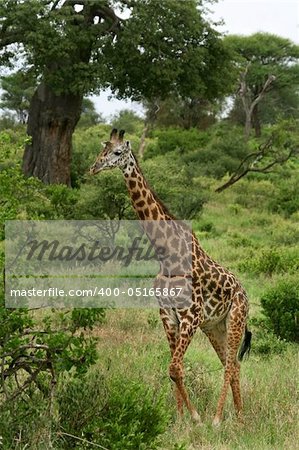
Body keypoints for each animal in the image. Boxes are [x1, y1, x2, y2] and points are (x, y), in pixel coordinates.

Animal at [90, 127, 252, 426]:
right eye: (102, 149)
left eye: (117, 152)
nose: (94, 167)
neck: (167, 254)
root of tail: (244, 292)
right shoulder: (168, 315)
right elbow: (174, 368)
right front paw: (179, 418)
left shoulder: (191, 315)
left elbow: (175, 367)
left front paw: (197, 418)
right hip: (214, 327)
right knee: (232, 363)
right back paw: (239, 417)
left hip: (235, 318)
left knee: (229, 365)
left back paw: (218, 419)